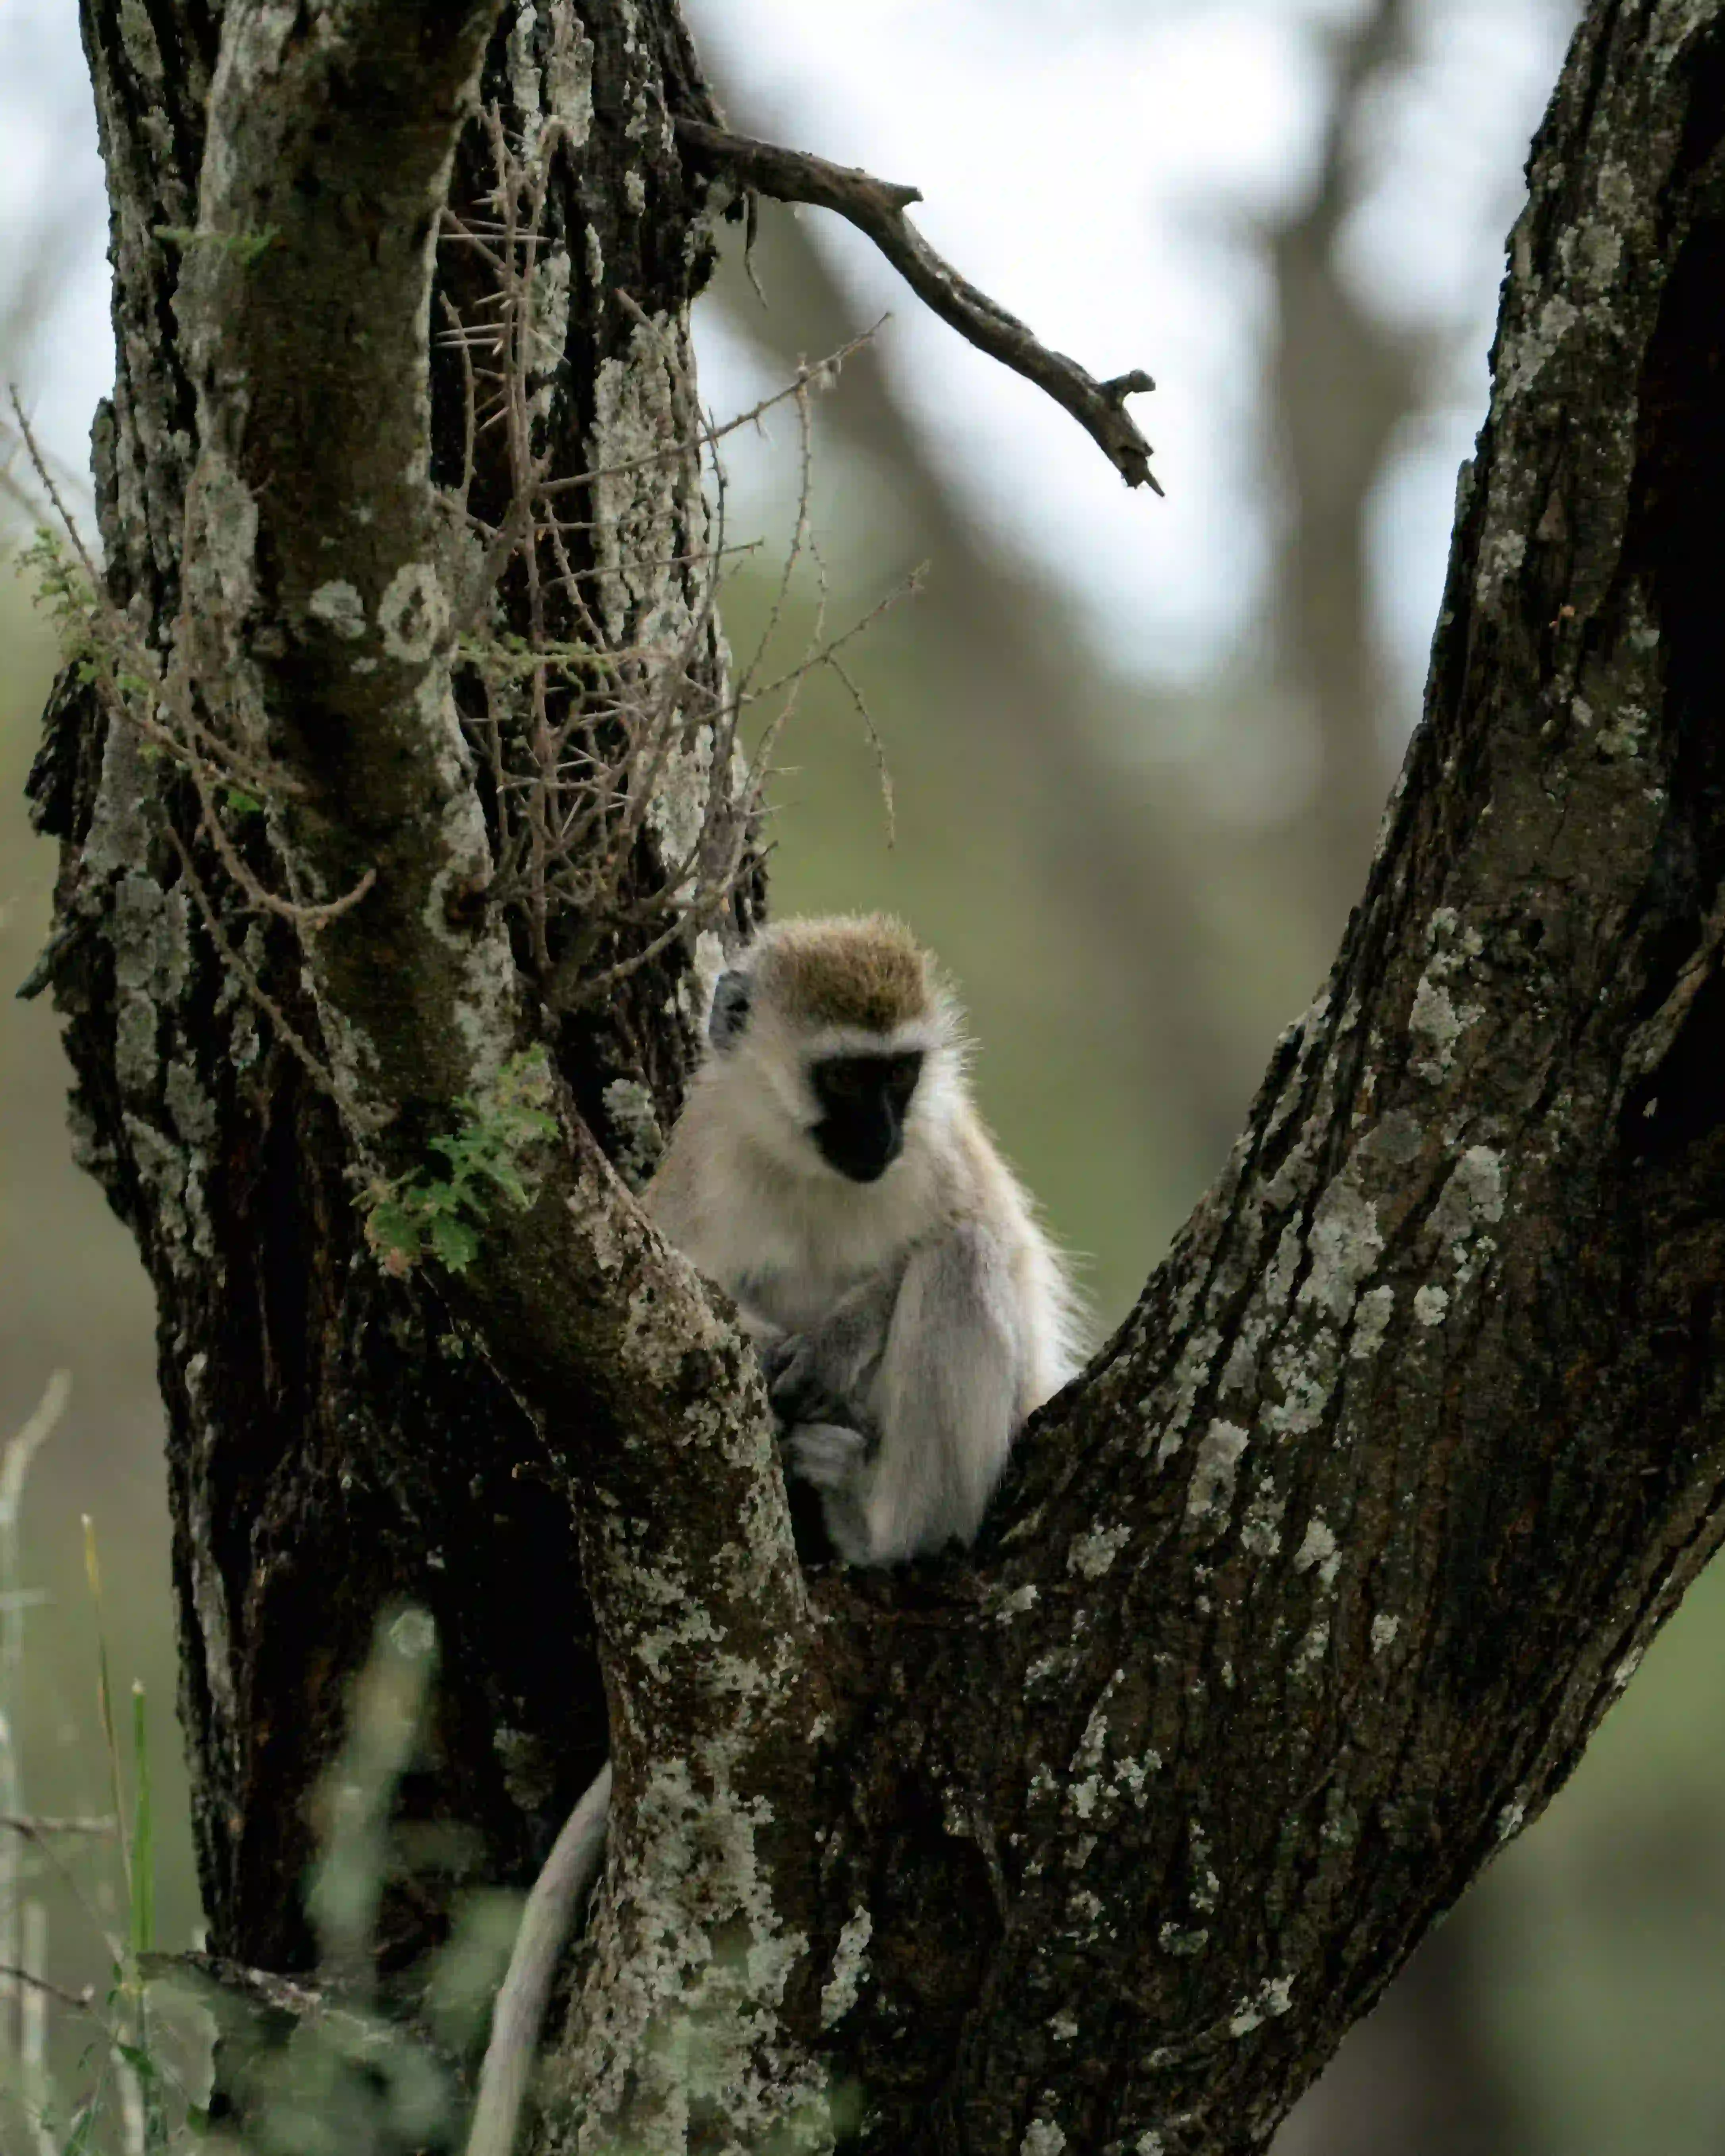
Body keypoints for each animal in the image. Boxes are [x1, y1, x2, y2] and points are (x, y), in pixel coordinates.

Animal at [465, 914, 1081, 2156]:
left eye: (899, 1077)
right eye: (844, 1079)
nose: (881, 1133)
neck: (808, 1172)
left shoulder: (945, 1151)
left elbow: (972, 1240)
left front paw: (835, 1340)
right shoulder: (698, 1174)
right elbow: (694, 1303)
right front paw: (764, 1348)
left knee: (962, 1265)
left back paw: (886, 1526)